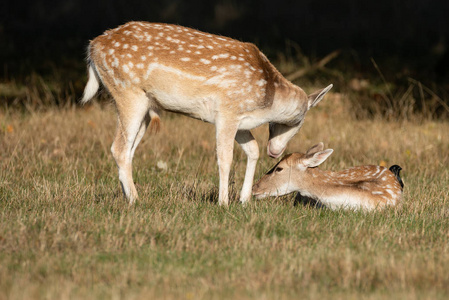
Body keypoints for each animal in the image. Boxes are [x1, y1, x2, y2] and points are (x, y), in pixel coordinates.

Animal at [81, 19, 332, 205]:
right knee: (118, 148)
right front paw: (223, 203)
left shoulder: (240, 121)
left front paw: (244, 200)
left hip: (144, 105)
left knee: (129, 150)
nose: (276, 152)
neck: (266, 98)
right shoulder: (227, 111)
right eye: (299, 122)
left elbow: (253, 150)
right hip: (128, 92)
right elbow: (225, 158)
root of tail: (93, 48)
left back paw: (128, 196)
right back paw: (136, 200)